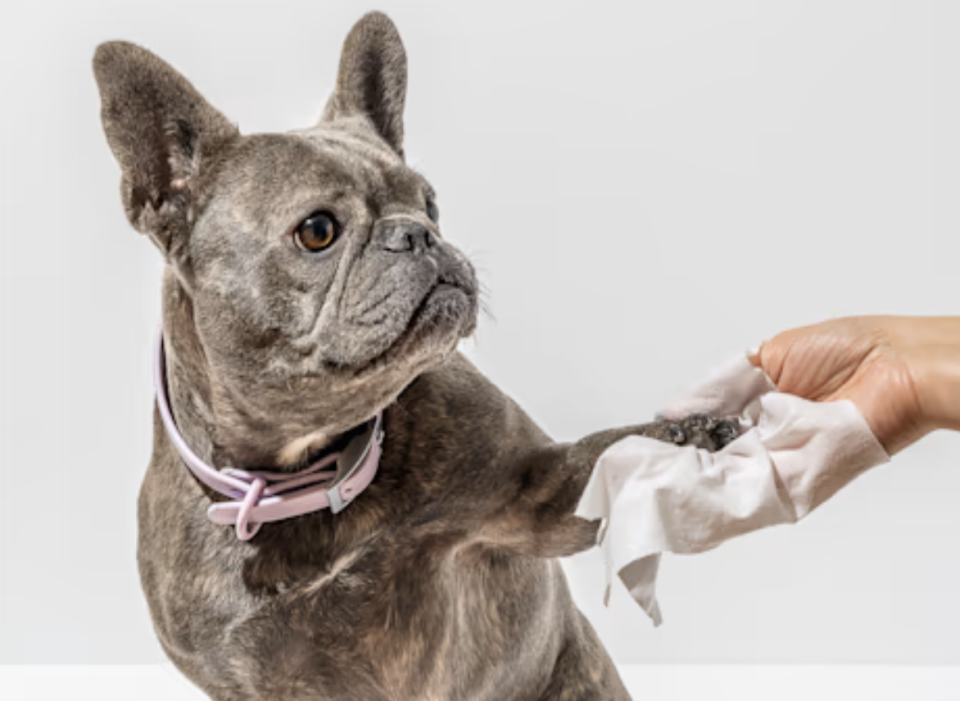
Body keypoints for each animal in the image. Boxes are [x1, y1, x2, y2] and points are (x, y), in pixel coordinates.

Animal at [94, 12, 736, 700]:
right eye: (317, 231)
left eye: (430, 203)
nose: (419, 233)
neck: (308, 470)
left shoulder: (539, 496)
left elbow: (612, 456)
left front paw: (697, 437)